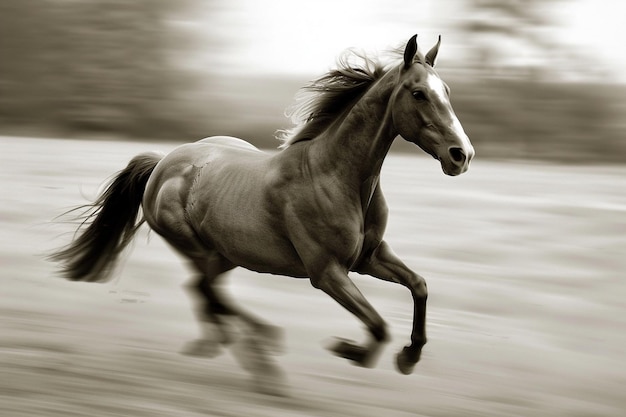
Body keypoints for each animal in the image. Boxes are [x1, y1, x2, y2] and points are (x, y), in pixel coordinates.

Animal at [52, 35, 472, 394]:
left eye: (448, 92)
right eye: (418, 93)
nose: (461, 155)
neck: (336, 178)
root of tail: (163, 163)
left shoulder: (368, 257)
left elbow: (419, 286)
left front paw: (410, 356)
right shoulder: (327, 272)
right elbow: (378, 325)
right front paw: (347, 350)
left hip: (224, 254)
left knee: (205, 292)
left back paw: (228, 347)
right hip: (198, 248)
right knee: (208, 292)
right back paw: (262, 354)